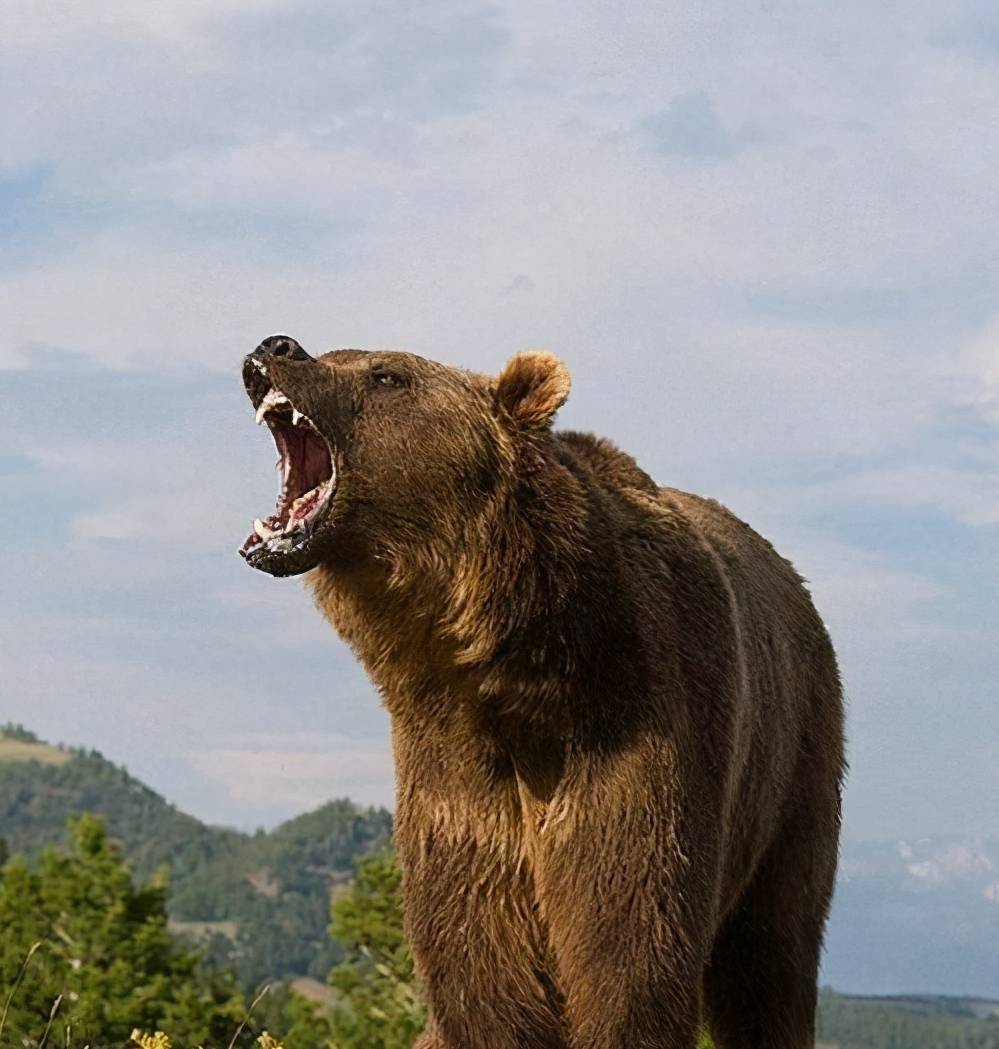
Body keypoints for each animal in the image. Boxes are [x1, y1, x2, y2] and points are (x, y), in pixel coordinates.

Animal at [240, 337, 843, 1049]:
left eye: (387, 374)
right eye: (336, 351)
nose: (277, 346)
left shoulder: (641, 729)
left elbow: (627, 952)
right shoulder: (454, 777)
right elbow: (481, 967)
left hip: (795, 765)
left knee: (772, 954)